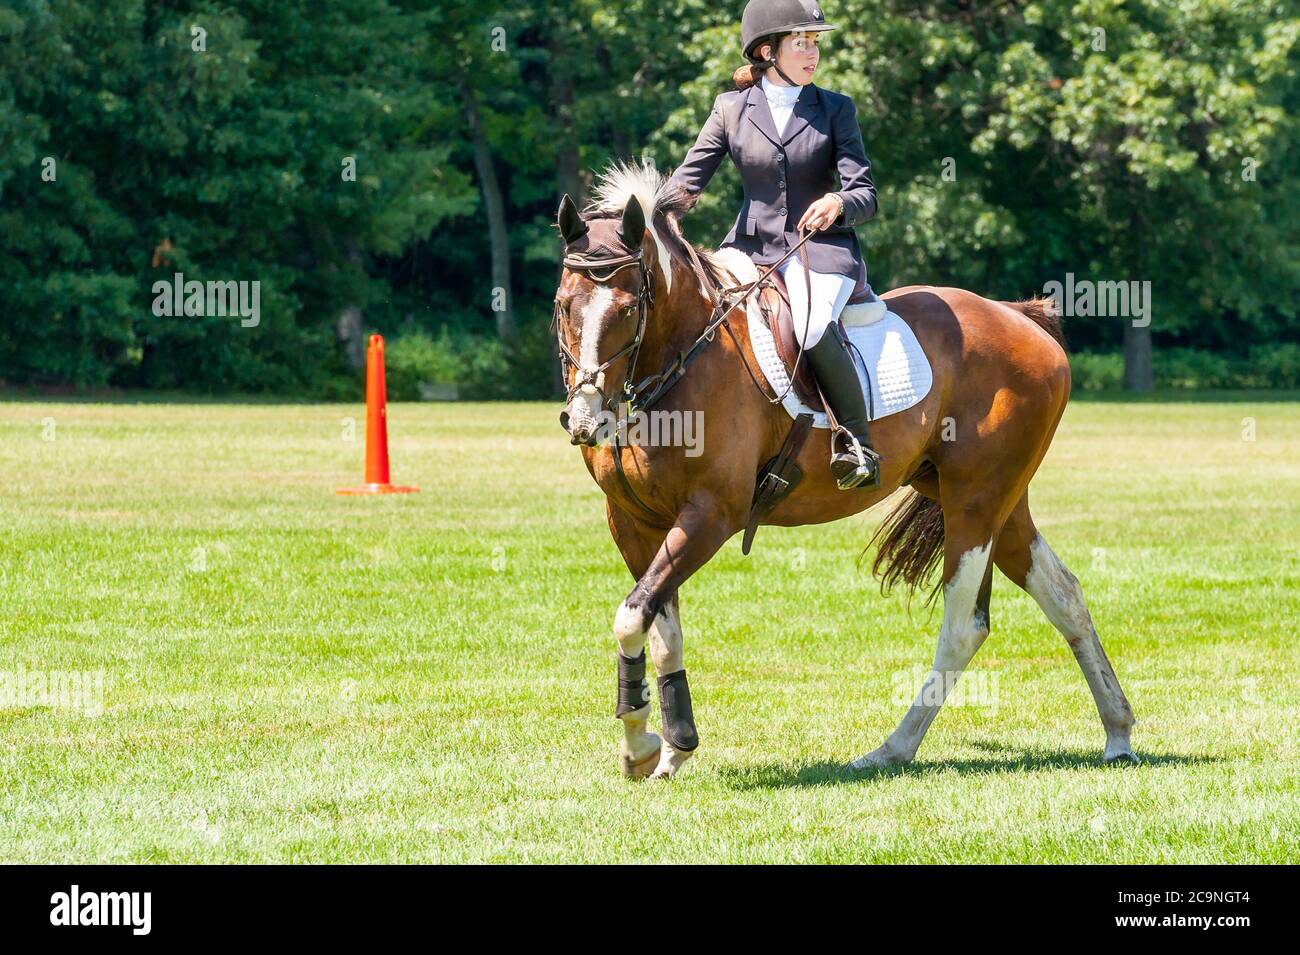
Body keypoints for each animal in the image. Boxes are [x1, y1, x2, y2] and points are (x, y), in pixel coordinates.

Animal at [552, 162, 1137, 780]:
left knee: (963, 626)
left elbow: (632, 615)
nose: (585, 419)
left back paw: (892, 749)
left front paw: (642, 745)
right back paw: (1118, 731)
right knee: (1063, 594)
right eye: (565, 304)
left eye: (628, 309)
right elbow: (657, 624)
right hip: (995, 502)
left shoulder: (711, 515)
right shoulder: (633, 522)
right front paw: (667, 748)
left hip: (976, 501)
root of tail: (1019, 318)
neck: (680, 362)